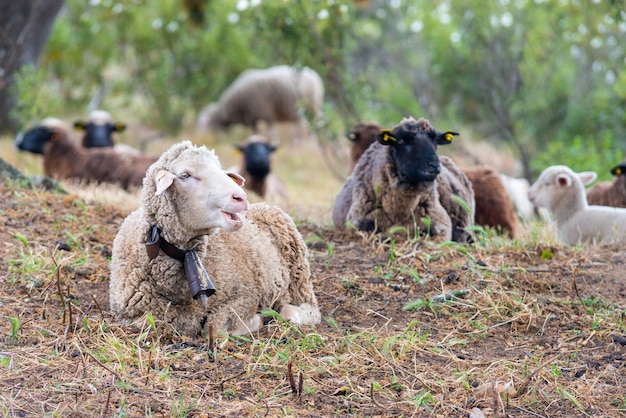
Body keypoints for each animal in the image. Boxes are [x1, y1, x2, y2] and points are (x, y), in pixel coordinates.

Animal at [109, 140, 320, 336]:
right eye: (185, 175)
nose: (241, 197)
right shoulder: (132, 314)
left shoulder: (246, 293)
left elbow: (216, 326)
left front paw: (255, 321)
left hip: (298, 274)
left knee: (310, 309)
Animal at [332, 116, 472, 242]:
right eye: (400, 141)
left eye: (435, 140)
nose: (434, 165)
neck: (398, 212)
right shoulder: (357, 222)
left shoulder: (440, 223)